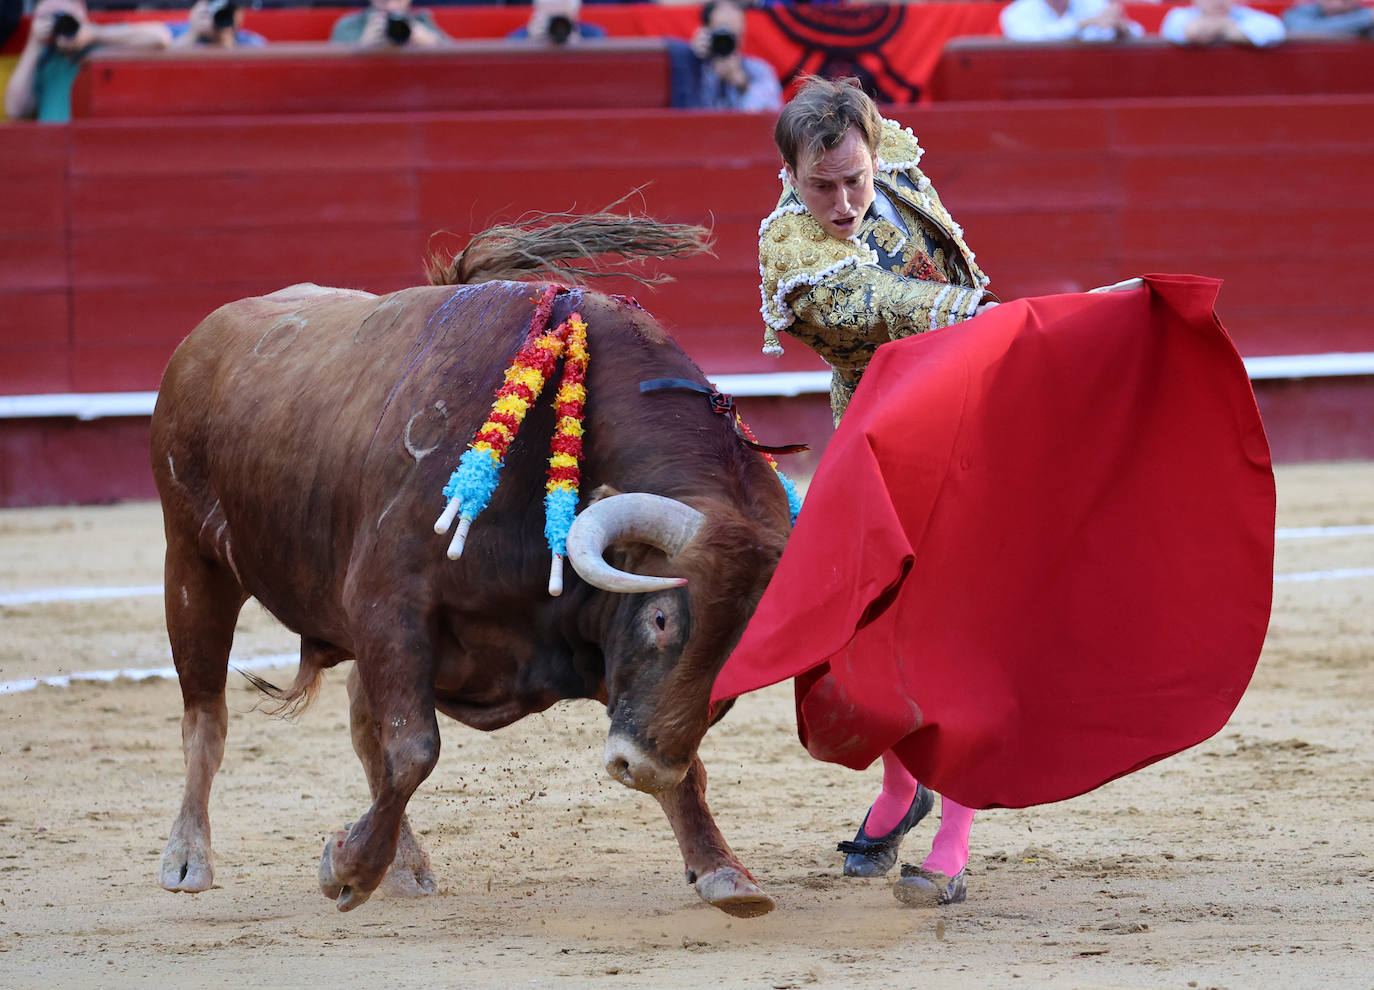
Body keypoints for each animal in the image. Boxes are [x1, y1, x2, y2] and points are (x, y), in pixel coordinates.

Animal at [147, 218, 796, 917]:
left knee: (360, 724)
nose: (641, 768)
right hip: (193, 566)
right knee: (206, 717)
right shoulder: (389, 606)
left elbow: (686, 763)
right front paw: (348, 869)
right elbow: (413, 750)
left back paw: (405, 866)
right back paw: (187, 858)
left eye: (745, 649)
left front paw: (723, 871)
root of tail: (203, 337)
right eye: (659, 619)